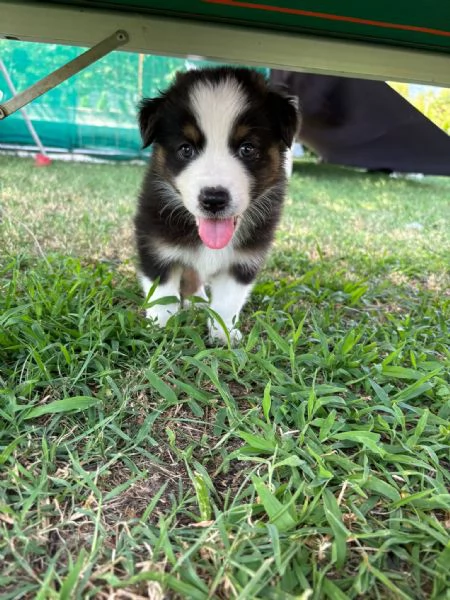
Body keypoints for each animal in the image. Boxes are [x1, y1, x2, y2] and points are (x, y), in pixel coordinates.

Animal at [134, 65, 298, 342]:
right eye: (186, 149)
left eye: (247, 148)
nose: (213, 199)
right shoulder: (156, 245)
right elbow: (162, 296)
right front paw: (161, 328)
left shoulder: (244, 259)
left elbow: (227, 303)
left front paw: (224, 335)